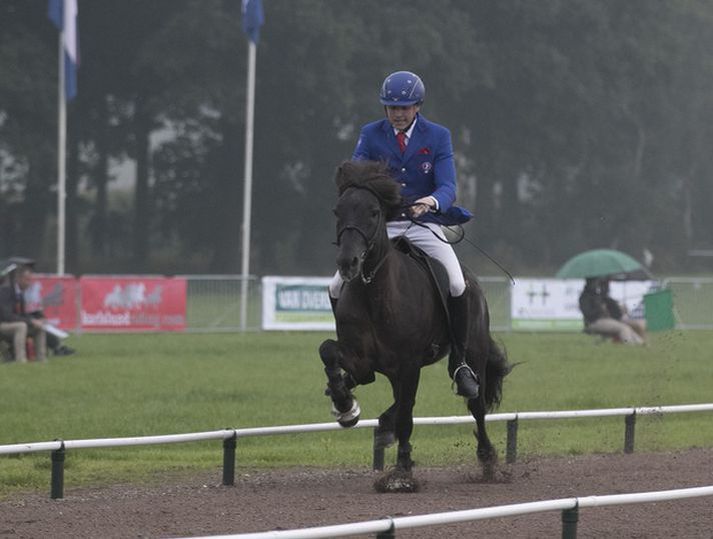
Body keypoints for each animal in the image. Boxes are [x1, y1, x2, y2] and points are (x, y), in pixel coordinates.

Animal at [318, 160, 512, 494]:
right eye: (337, 211)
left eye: (374, 212)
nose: (348, 262)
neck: (375, 290)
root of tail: (473, 282)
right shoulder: (361, 357)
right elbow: (329, 351)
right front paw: (345, 405)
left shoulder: (408, 364)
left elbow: (407, 415)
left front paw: (401, 473)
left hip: (471, 351)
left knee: (475, 404)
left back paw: (487, 460)